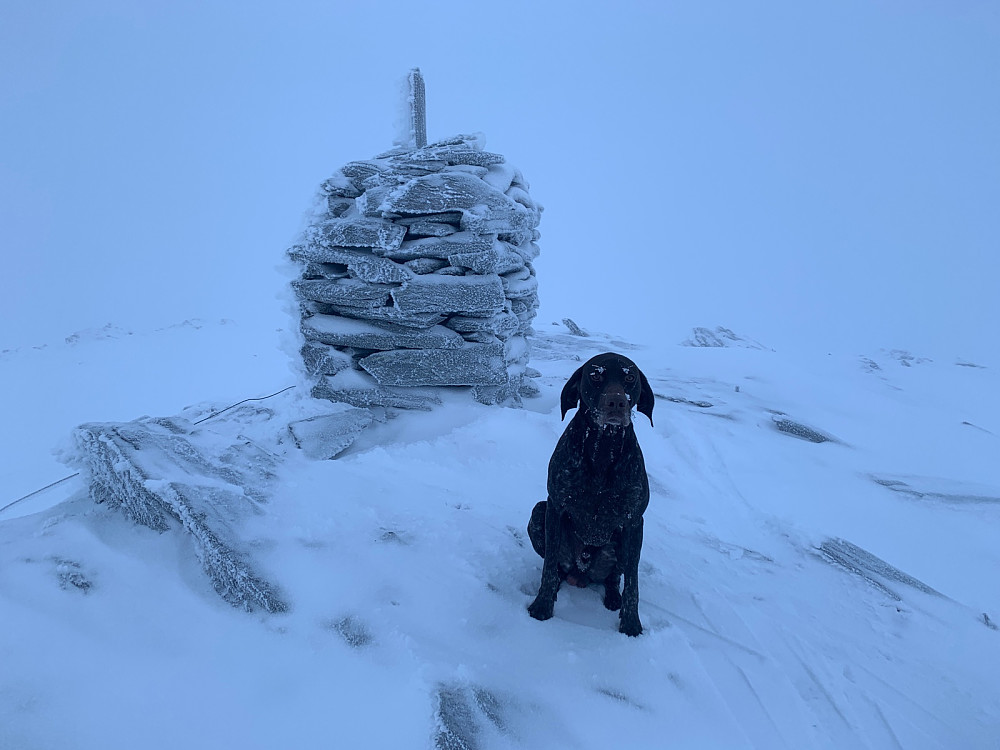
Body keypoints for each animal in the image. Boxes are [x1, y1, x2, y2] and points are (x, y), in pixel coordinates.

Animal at [528, 356, 652, 636]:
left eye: (630, 377)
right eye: (595, 376)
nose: (617, 402)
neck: (603, 449)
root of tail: (582, 574)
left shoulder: (634, 521)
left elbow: (633, 582)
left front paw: (631, 623)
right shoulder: (555, 505)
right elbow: (548, 567)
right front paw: (542, 605)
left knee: (614, 578)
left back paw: (613, 597)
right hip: (538, 512)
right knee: (556, 568)